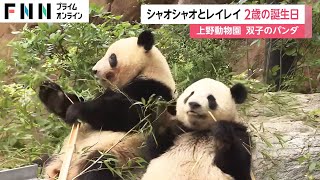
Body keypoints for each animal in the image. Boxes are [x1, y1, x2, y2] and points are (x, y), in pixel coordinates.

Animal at [39, 30, 178, 179]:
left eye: (112, 57)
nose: (94, 70)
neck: (147, 70)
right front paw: (52, 94)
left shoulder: (152, 91)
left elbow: (130, 116)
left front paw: (77, 109)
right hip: (57, 154)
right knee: (42, 160)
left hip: (116, 153)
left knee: (97, 166)